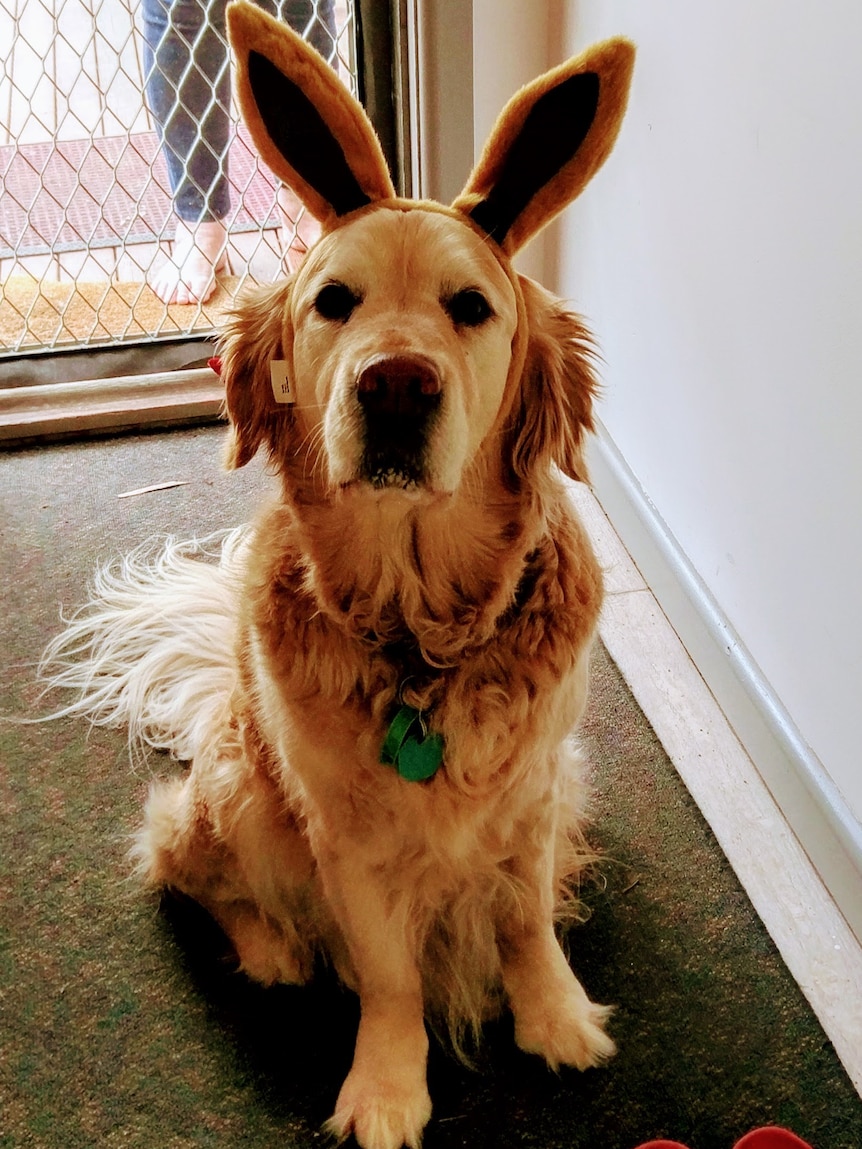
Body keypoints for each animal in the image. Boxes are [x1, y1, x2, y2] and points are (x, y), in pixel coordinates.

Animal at [42, 6, 634, 1139]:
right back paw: (271, 945)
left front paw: (552, 1014)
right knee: (178, 858)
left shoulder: (537, 789)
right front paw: (388, 1086)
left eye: (470, 307)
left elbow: (526, 920)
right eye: (334, 301)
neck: (420, 638)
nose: (395, 385)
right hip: (238, 790)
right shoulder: (343, 835)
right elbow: (391, 974)